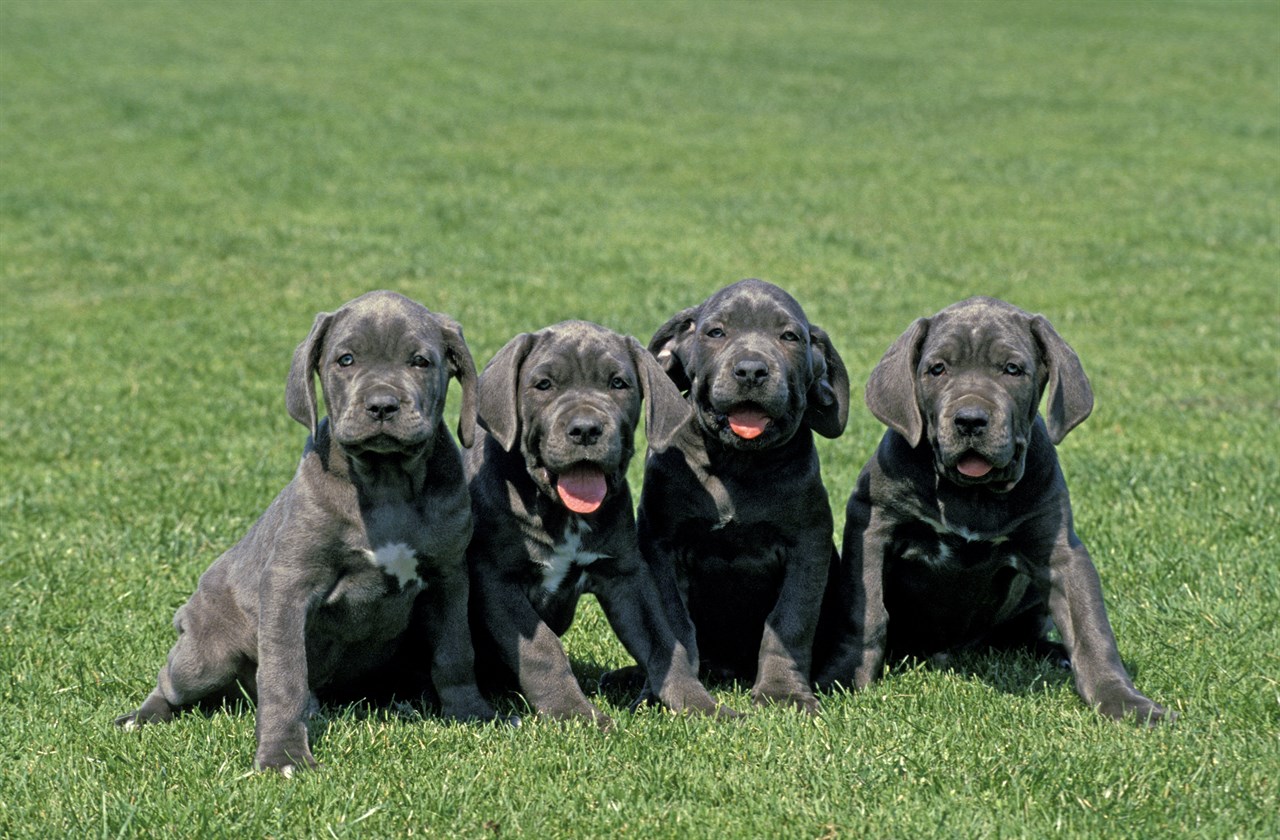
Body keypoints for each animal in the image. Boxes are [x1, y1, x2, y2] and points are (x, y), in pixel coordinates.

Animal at [115, 291, 501, 773]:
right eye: (345, 360)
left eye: (420, 361)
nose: (382, 405)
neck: (386, 483)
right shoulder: (289, 584)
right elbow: (284, 676)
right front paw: (282, 754)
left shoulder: (449, 577)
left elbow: (455, 652)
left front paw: (471, 713)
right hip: (206, 656)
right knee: (171, 680)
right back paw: (141, 717)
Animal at [465, 321, 737, 727]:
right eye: (543, 385)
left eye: (618, 383)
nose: (586, 429)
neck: (561, 512)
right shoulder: (498, 581)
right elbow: (542, 651)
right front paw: (574, 712)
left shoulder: (625, 575)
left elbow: (663, 642)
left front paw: (700, 705)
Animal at [629, 279, 849, 711]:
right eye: (716, 332)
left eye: (789, 337)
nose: (751, 370)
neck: (737, 463)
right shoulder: (661, 546)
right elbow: (673, 624)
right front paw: (660, 692)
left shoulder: (807, 545)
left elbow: (789, 622)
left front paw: (784, 693)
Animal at [819, 295, 1172, 722]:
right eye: (937, 369)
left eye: (1012, 369)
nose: (970, 420)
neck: (972, 494)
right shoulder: (872, 524)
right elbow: (866, 612)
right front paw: (843, 678)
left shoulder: (1061, 552)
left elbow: (1091, 629)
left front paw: (1124, 701)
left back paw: (1054, 653)